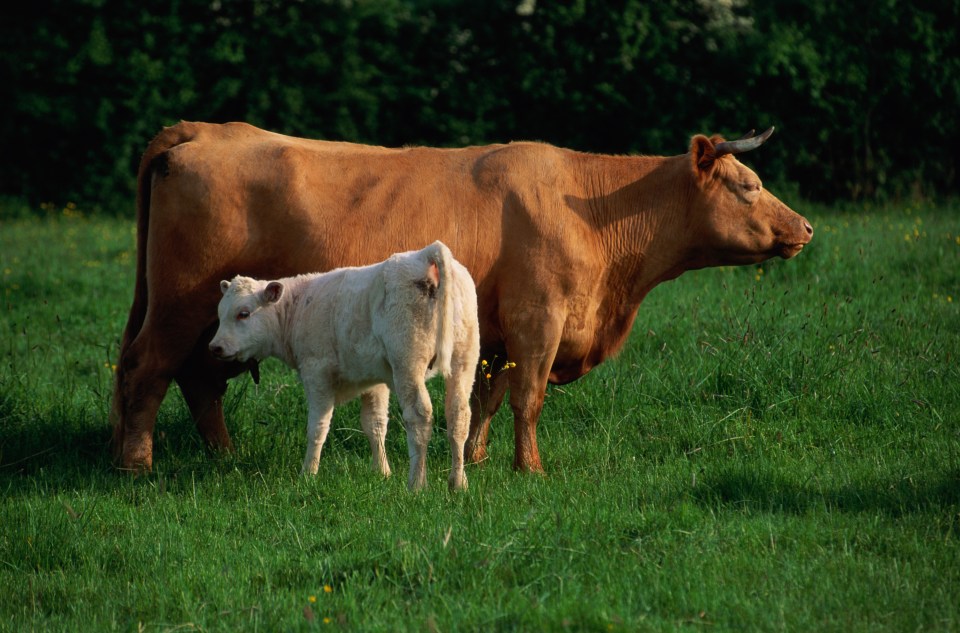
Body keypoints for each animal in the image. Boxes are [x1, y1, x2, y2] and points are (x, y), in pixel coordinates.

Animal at [209, 239, 480, 492]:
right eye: (221, 314)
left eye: (244, 313)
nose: (215, 347)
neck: (297, 308)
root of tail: (424, 256)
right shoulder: (374, 380)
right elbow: (375, 424)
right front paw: (382, 472)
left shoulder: (316, 373)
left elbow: (317, 426)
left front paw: (308, 474)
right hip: (464, 360)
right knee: (458, 415)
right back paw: (458, 482)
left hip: (408, 363)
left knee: (419, 416)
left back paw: (416, 484)